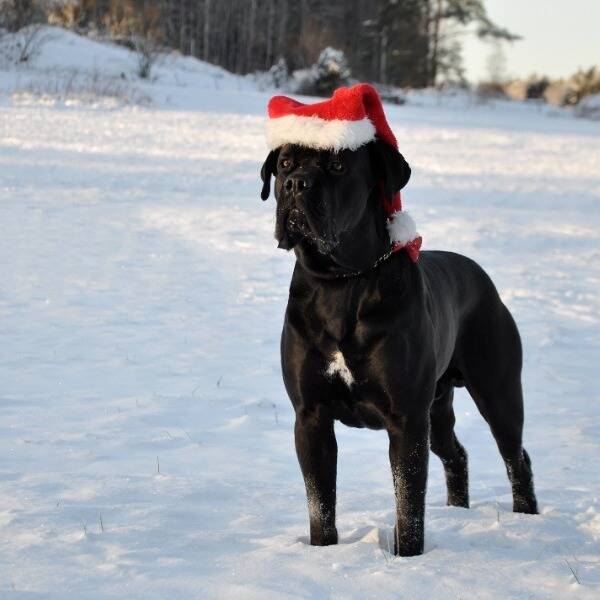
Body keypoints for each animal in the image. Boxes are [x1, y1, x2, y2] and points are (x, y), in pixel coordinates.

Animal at [258, 137, 540, 556]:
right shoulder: (311, 417)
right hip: (437, 409)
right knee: (456, 453)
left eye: (338, 165)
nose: (296, 185)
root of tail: (482, 277)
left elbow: (408, 503)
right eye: (285, 164)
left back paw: (527, 517)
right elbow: (320, 503)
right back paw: (458, 510)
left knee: (516, 457)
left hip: (497, 393)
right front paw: (322, 552)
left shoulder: (406, 418)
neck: (341, 282)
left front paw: (409, 557)